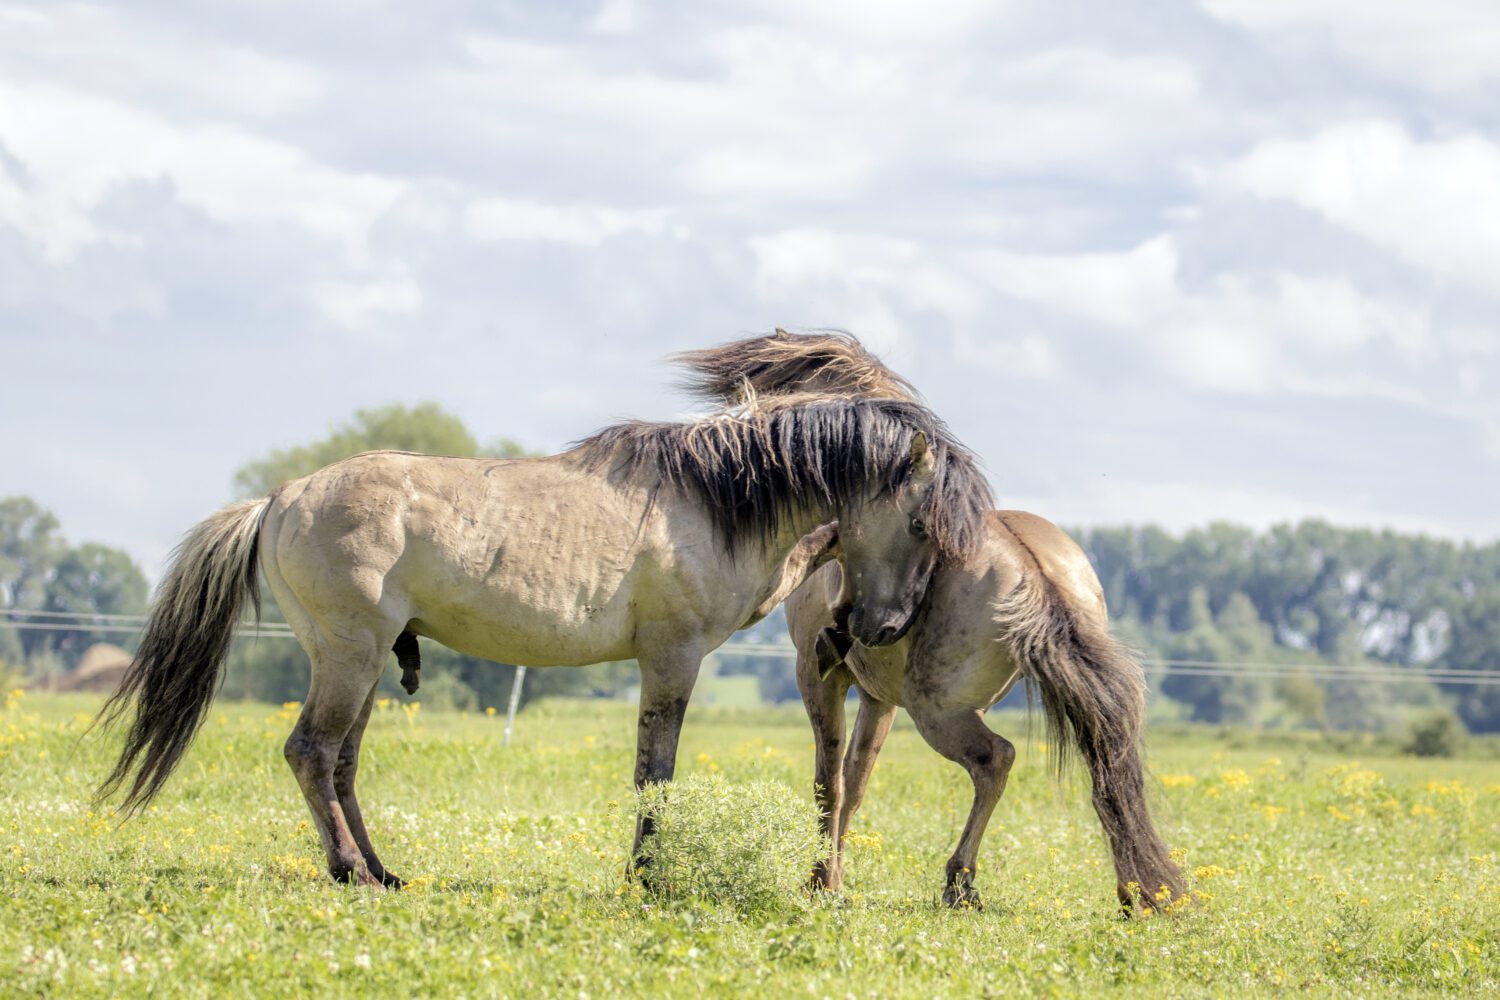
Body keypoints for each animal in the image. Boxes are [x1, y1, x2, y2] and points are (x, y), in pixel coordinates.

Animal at [93, 386, 990, 887]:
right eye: (920, 521)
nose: (885, 626)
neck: (717, 500)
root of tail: (277, 500)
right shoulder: (670, 661)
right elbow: (655, 776)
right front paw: (649, 877)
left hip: (363, 665)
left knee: (340, 763)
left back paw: (380, 870)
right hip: (348, 659)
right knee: (311, 752)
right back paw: (350, 872)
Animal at [678, 332, 1182, 911]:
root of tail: (1034, 567)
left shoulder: (819, 676)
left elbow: (829, 782)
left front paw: (819, 879)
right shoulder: (878, 698)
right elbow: (857, 780)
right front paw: (835, 875)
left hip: (937, 710)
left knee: (996, 760)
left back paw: (960, 880)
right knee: (1106, 768)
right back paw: (1136, 891)